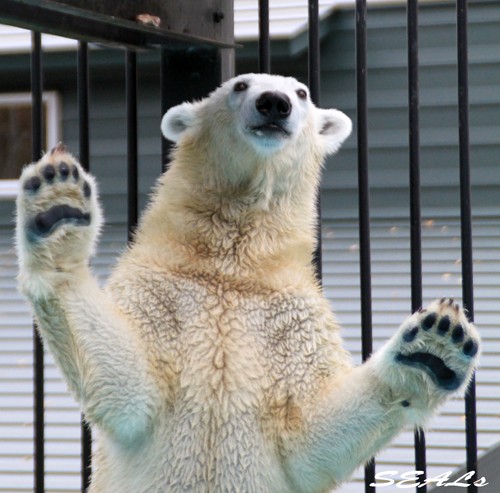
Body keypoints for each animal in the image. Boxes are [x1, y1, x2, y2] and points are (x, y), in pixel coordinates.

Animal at [14, 73, 476, 492]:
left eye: (301, 92)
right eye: (239, 85)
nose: (274, 103)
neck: (231, 269)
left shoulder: (293, 316)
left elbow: (308, 441)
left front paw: (434, 347)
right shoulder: (160, 287)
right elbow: (128, 389)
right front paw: (57, 206)